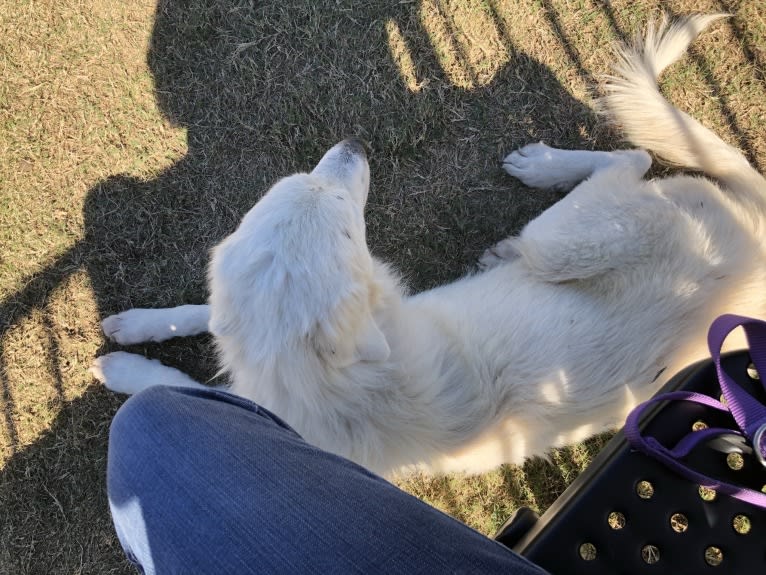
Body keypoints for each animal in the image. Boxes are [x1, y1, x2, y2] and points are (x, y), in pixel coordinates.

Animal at [91, 15, 766, 480]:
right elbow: (201, 312)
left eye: (342, 216)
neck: (318, 375)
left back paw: (543, 170)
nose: (355, 143)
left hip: (563, 240)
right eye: (304, 189)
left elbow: (174, 380)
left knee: (634, 158)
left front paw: (127, 371)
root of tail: (754, 228)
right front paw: (136, 326)